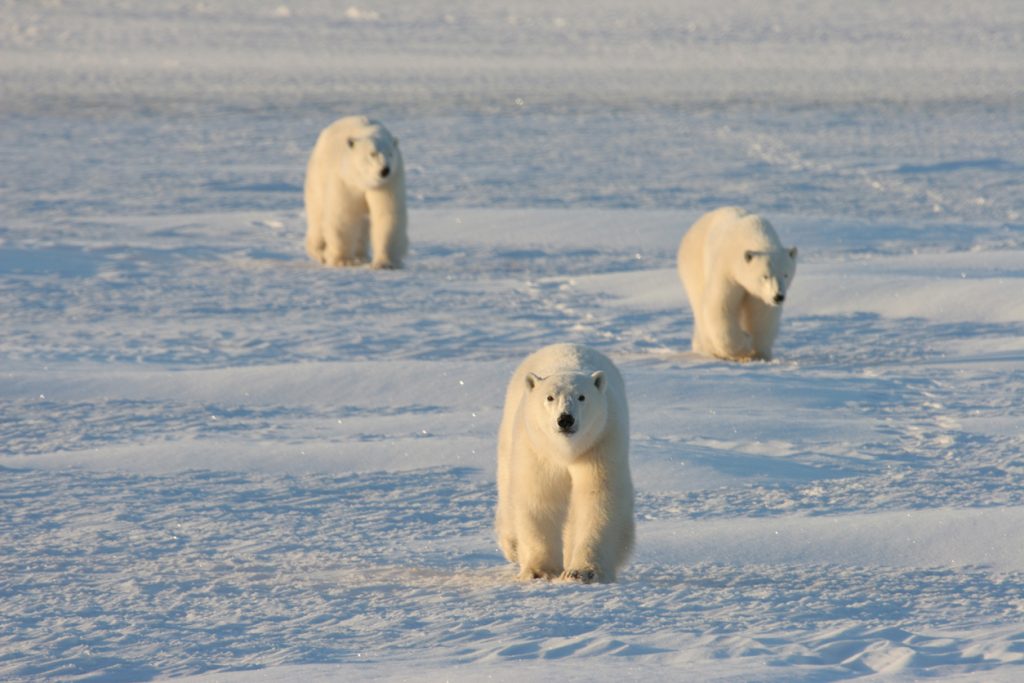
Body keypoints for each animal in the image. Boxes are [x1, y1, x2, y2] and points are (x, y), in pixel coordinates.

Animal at [301, 116, 405, 268]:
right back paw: (320, 252)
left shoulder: (389, 182)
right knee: (318, 215)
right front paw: (342, 260)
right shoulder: (345, 180)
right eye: (372, 154)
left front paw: (385, 262)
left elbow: (387, 213)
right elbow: (344, 215)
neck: (363, 180)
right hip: (317, 177)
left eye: (390, 154)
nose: (385, 170)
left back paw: (361, 256)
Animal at [495, 344, 630, 585]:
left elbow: (597, 498)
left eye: (582, 396)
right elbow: (540, 497)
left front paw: (582, 572)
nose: (565, 419)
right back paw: (512, 546)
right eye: (550, 397)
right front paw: (541, 571)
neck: (566, 451)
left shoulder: (600, 443)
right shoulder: (538, 450)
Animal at [679, 205, 798, 360]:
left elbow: (762, 315)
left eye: (785, 274)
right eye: (765, 276)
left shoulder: (760, 295)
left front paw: (760, 353)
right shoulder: (727, 271)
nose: (778, 297)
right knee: (700, 304)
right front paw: (745, 343)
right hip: (694, 265)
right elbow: (720, 306)